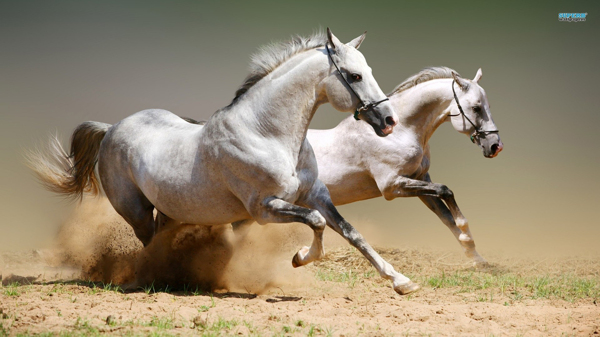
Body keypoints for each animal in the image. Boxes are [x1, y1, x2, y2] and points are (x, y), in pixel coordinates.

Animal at [28, 30, 422, 294]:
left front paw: (401, 281)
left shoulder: (316, 195)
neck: (267, 133)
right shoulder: (264, 208)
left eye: (367, 69)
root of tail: (111, 128)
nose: (388, 121)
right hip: (135, 210)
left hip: (170, 210)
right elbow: (316, 223)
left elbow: (351, 232)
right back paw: (153, 278)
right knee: (149, 244)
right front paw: (299, 258)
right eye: (354, 75)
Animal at [308, 67, 504, 268]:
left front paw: (476, 258)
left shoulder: (420, 180)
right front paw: (466, 233)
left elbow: (446, 216)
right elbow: (445, 191)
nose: (495, 146)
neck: (399, 132)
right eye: (476, 108)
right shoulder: (391, 186)